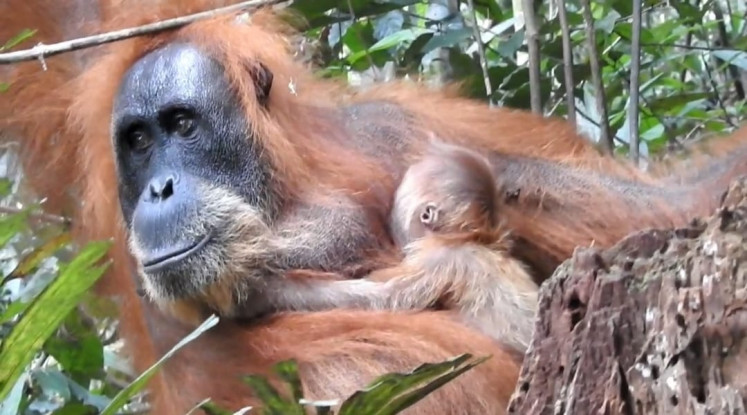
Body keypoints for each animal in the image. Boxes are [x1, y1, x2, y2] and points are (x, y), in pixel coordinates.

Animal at [4, 2, 747, 414]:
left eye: (182, 125)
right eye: (137, 139)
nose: (159, 187)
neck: (278, 199)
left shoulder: (393, 135)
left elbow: (652, 209)